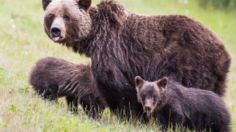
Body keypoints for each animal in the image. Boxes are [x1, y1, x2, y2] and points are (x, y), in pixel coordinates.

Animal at [41, 0, 230, 119]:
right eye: (51, 15)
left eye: (66, 16)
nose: (56, 30)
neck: (93, 37)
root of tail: (225, 54)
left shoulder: (111, 52)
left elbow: (117, 89)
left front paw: (130, 116)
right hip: (214, 79)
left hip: (189, 64)